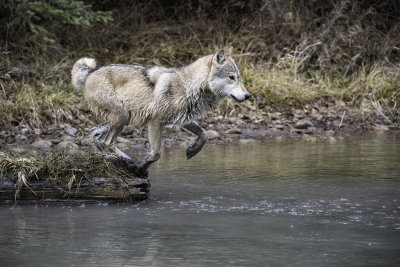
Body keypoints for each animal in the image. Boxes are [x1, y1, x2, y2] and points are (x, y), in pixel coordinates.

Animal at [70, 47, 248, 177]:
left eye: (238, 77)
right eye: (232, 77)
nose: (248, 95)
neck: (189, 87)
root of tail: (91, 72)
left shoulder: (183, 119)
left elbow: (204, 134)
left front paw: (192, 150)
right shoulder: (155, 123)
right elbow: (155, 154)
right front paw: (140, 169)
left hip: (123, 119)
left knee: (95, 134)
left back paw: (117, 159)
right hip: (122, 118)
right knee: (108, 142)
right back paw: (127, 161)